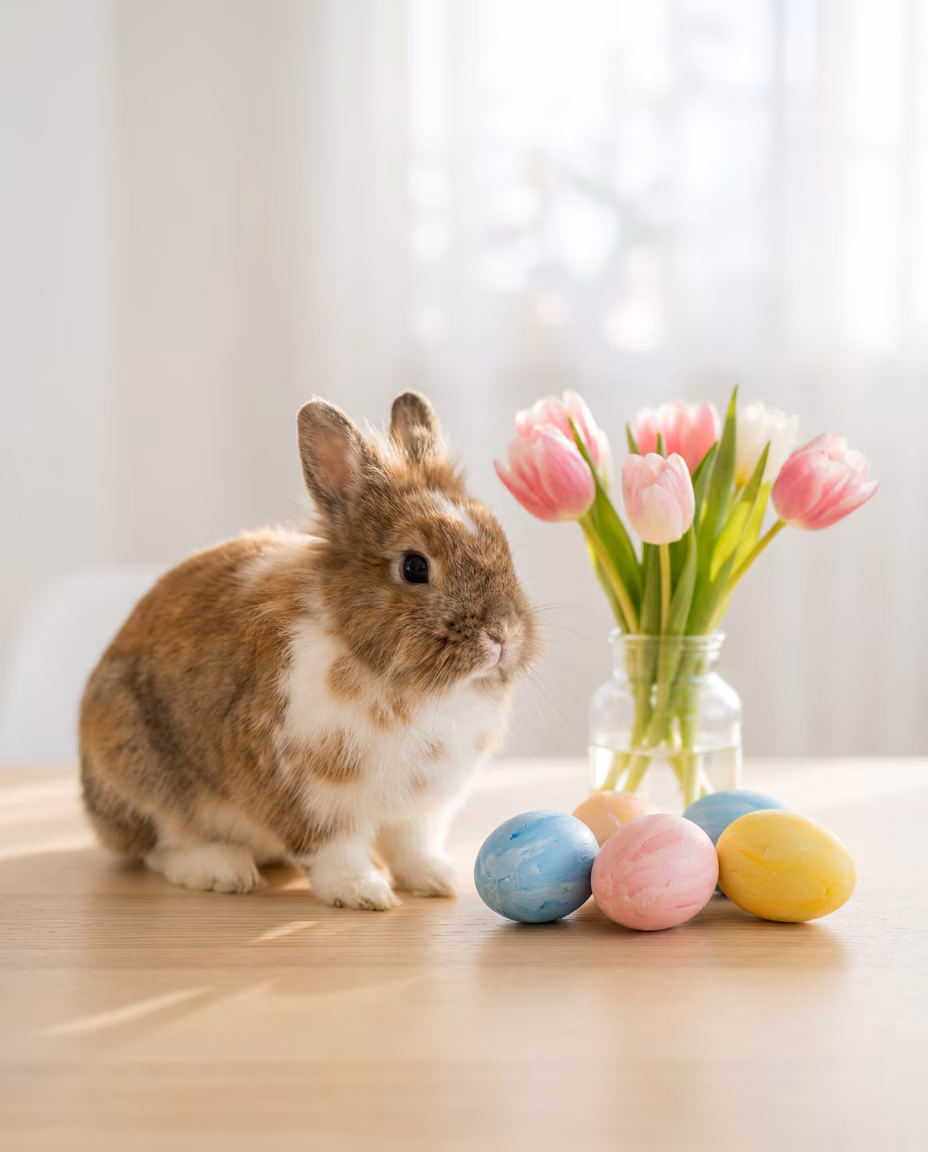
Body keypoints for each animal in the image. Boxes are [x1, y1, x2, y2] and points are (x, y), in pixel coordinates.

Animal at [79, 392, 540, 909]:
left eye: (501, 542)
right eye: (415, 567)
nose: (503, 635)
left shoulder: (420, 809)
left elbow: (412, 847)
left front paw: (437, 880)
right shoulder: (311, 797)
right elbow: (334, 851)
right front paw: (364, 893)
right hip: (136, 765)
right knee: (163, 845)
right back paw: (223, 870)